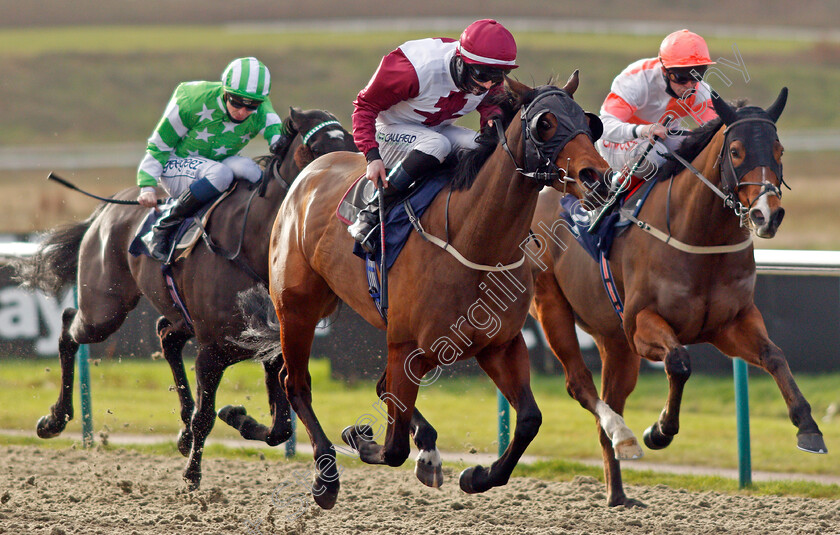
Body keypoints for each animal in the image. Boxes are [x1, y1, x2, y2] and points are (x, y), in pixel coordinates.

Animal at [13, 107, 356, 492]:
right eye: (318, 147)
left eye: (354, 144)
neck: (251, 246)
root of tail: (106, 211)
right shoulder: (211, 350)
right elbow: (206, 417)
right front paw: (192, 477)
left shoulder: (272, 347)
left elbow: (279, 428)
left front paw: (235, 416)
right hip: (104, 308)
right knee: (69, 325)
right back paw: (54, 419)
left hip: (171, 314)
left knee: (166, 335)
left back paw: (179, 431)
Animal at [253, 73, 608, 508]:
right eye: (546, 123)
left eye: (589, 122)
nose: (599, 177)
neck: (474, 241)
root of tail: (310, 171)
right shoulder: (407, 345)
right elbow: (392, 447)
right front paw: (361, 437)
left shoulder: (499, 345)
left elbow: (528, 420)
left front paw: (477, 475)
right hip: (298, 307)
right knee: (296, 382)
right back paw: (327, 475)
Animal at [532, 88, 828, 506]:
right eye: (735, 151)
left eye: (779, 149)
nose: (766, 215)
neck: (700, 237)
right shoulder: (641, 325)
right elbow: (680, 361)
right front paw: (659, 431)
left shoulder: (731, 323)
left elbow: (775, 357)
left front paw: (809, 428)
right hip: (552, 307)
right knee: (579, 384)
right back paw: (624, 443)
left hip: (614, 342)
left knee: (610, 404)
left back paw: (618, 490)